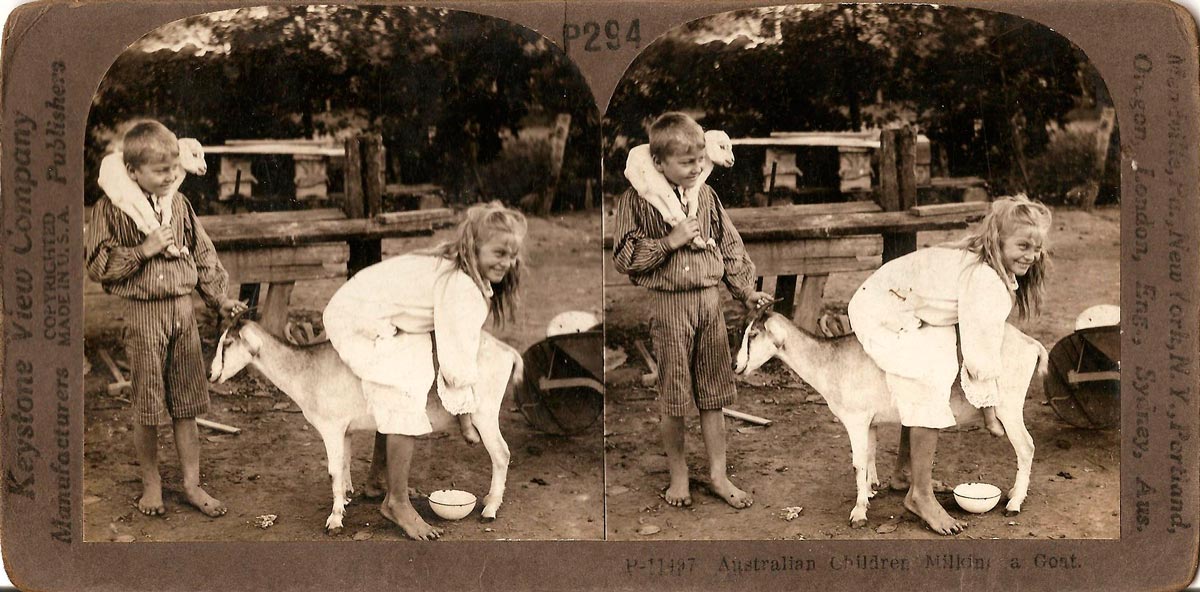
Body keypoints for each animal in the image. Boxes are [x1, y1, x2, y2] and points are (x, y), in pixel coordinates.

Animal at [211, 317, 520, 533]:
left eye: (227, 343)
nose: (211, 374)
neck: (307, 371)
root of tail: (507, 350)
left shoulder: (331, 427)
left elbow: (333, 471)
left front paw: (335, 520)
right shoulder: (344, 431)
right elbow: (344, 465)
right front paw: (345, 500)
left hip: (485, 413)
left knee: (501, 454)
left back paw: (490, 509)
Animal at [724, 305, 1046, 525]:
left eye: (752, 334)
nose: (735, 365)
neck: (831, 361)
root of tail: (1031, 344)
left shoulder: (855, 420)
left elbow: (857, 463)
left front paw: (858, 513)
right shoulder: (869, 422)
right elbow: (869, 457)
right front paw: (869, 494)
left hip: (1009, 408)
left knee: (1027, 447)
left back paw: (1015, 503)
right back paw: (1012, 494)